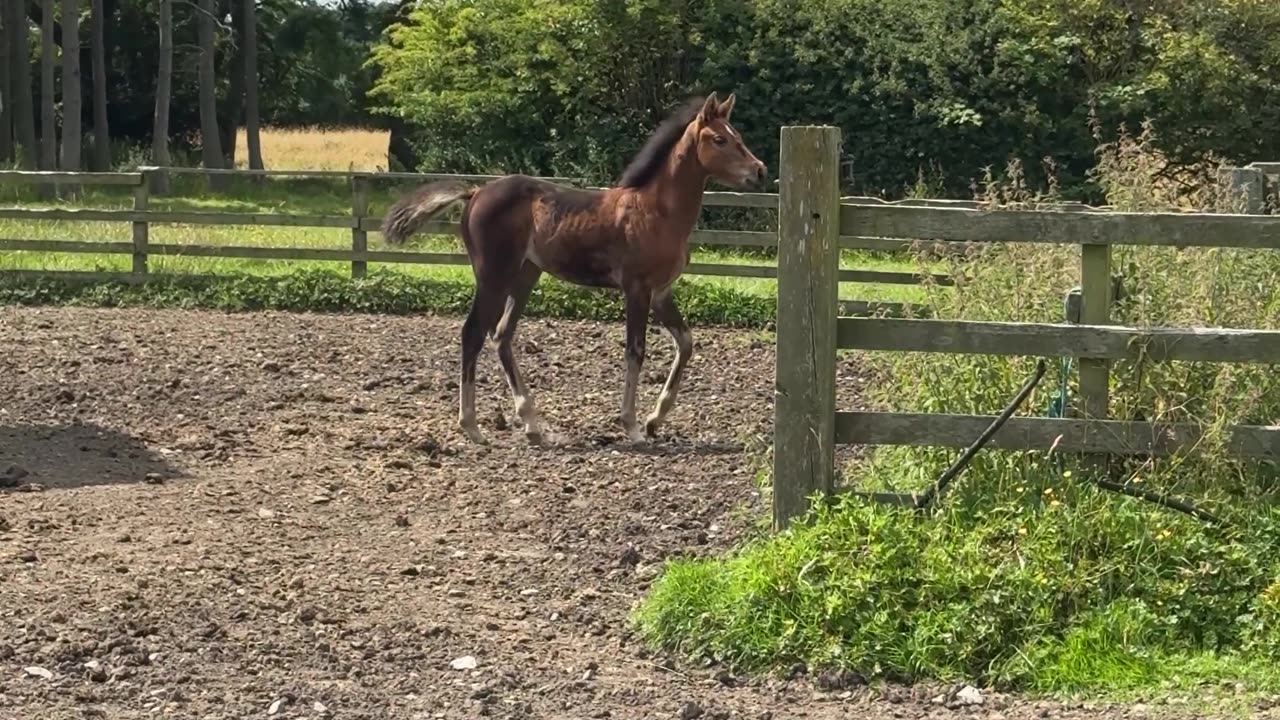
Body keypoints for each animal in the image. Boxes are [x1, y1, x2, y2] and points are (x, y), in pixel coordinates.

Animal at [376, 92, 757, 443]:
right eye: (720, 139)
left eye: (737, 135)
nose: (759, 171)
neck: (655, 211)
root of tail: (476, 192)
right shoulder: (637, 289)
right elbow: (635, 352)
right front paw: (632, 426)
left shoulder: (661, 292)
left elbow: (686, 342)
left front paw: (654, 420)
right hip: (493, 275)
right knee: (473, 333)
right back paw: (472, 426)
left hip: (526, 275)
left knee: (501, 334)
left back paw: (531, 424)